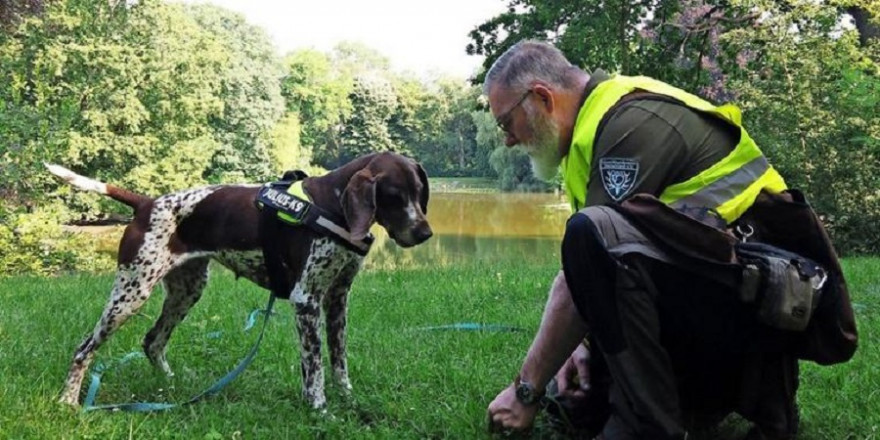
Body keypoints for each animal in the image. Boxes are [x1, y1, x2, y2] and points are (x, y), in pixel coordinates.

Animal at [48, 152, 434, 410]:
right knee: (84, 349)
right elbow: (315, 368)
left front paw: (349, 400)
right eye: (394, 196)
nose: (425, 233)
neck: (332, 206)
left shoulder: (337, 298)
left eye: (419, 192)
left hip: (187, 290)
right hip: (130, 292)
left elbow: (339, 361)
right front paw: (320, 410)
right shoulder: (306, 300)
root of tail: (147, 202)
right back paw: (68, 401)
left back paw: (173, 387)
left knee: (152, 341)